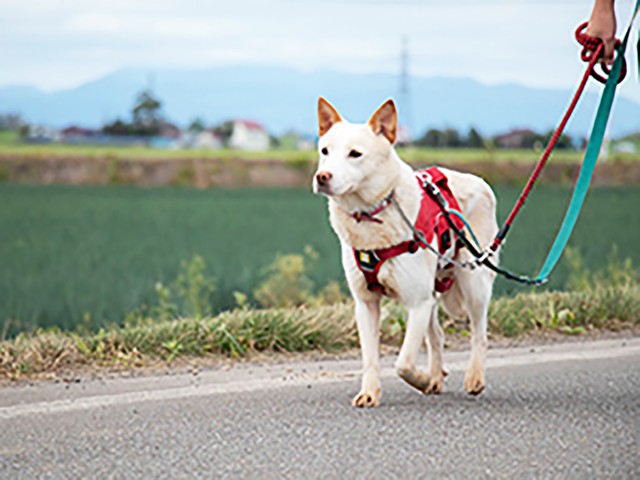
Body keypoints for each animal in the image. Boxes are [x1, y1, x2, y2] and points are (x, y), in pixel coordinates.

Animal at [316, 98, 500, 408]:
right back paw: (437, 376)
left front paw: (421, 380)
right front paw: (370, 393)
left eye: (355, 154)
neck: (371, 214)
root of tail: (480, 182)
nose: (321, 177)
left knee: (479, 334)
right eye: (324, 151)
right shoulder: (366, 304)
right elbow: (371, 359)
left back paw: (473, 378)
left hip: (473, 283)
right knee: (437, 336)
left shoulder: (417, 303)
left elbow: (402, 363)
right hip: (432, 293)